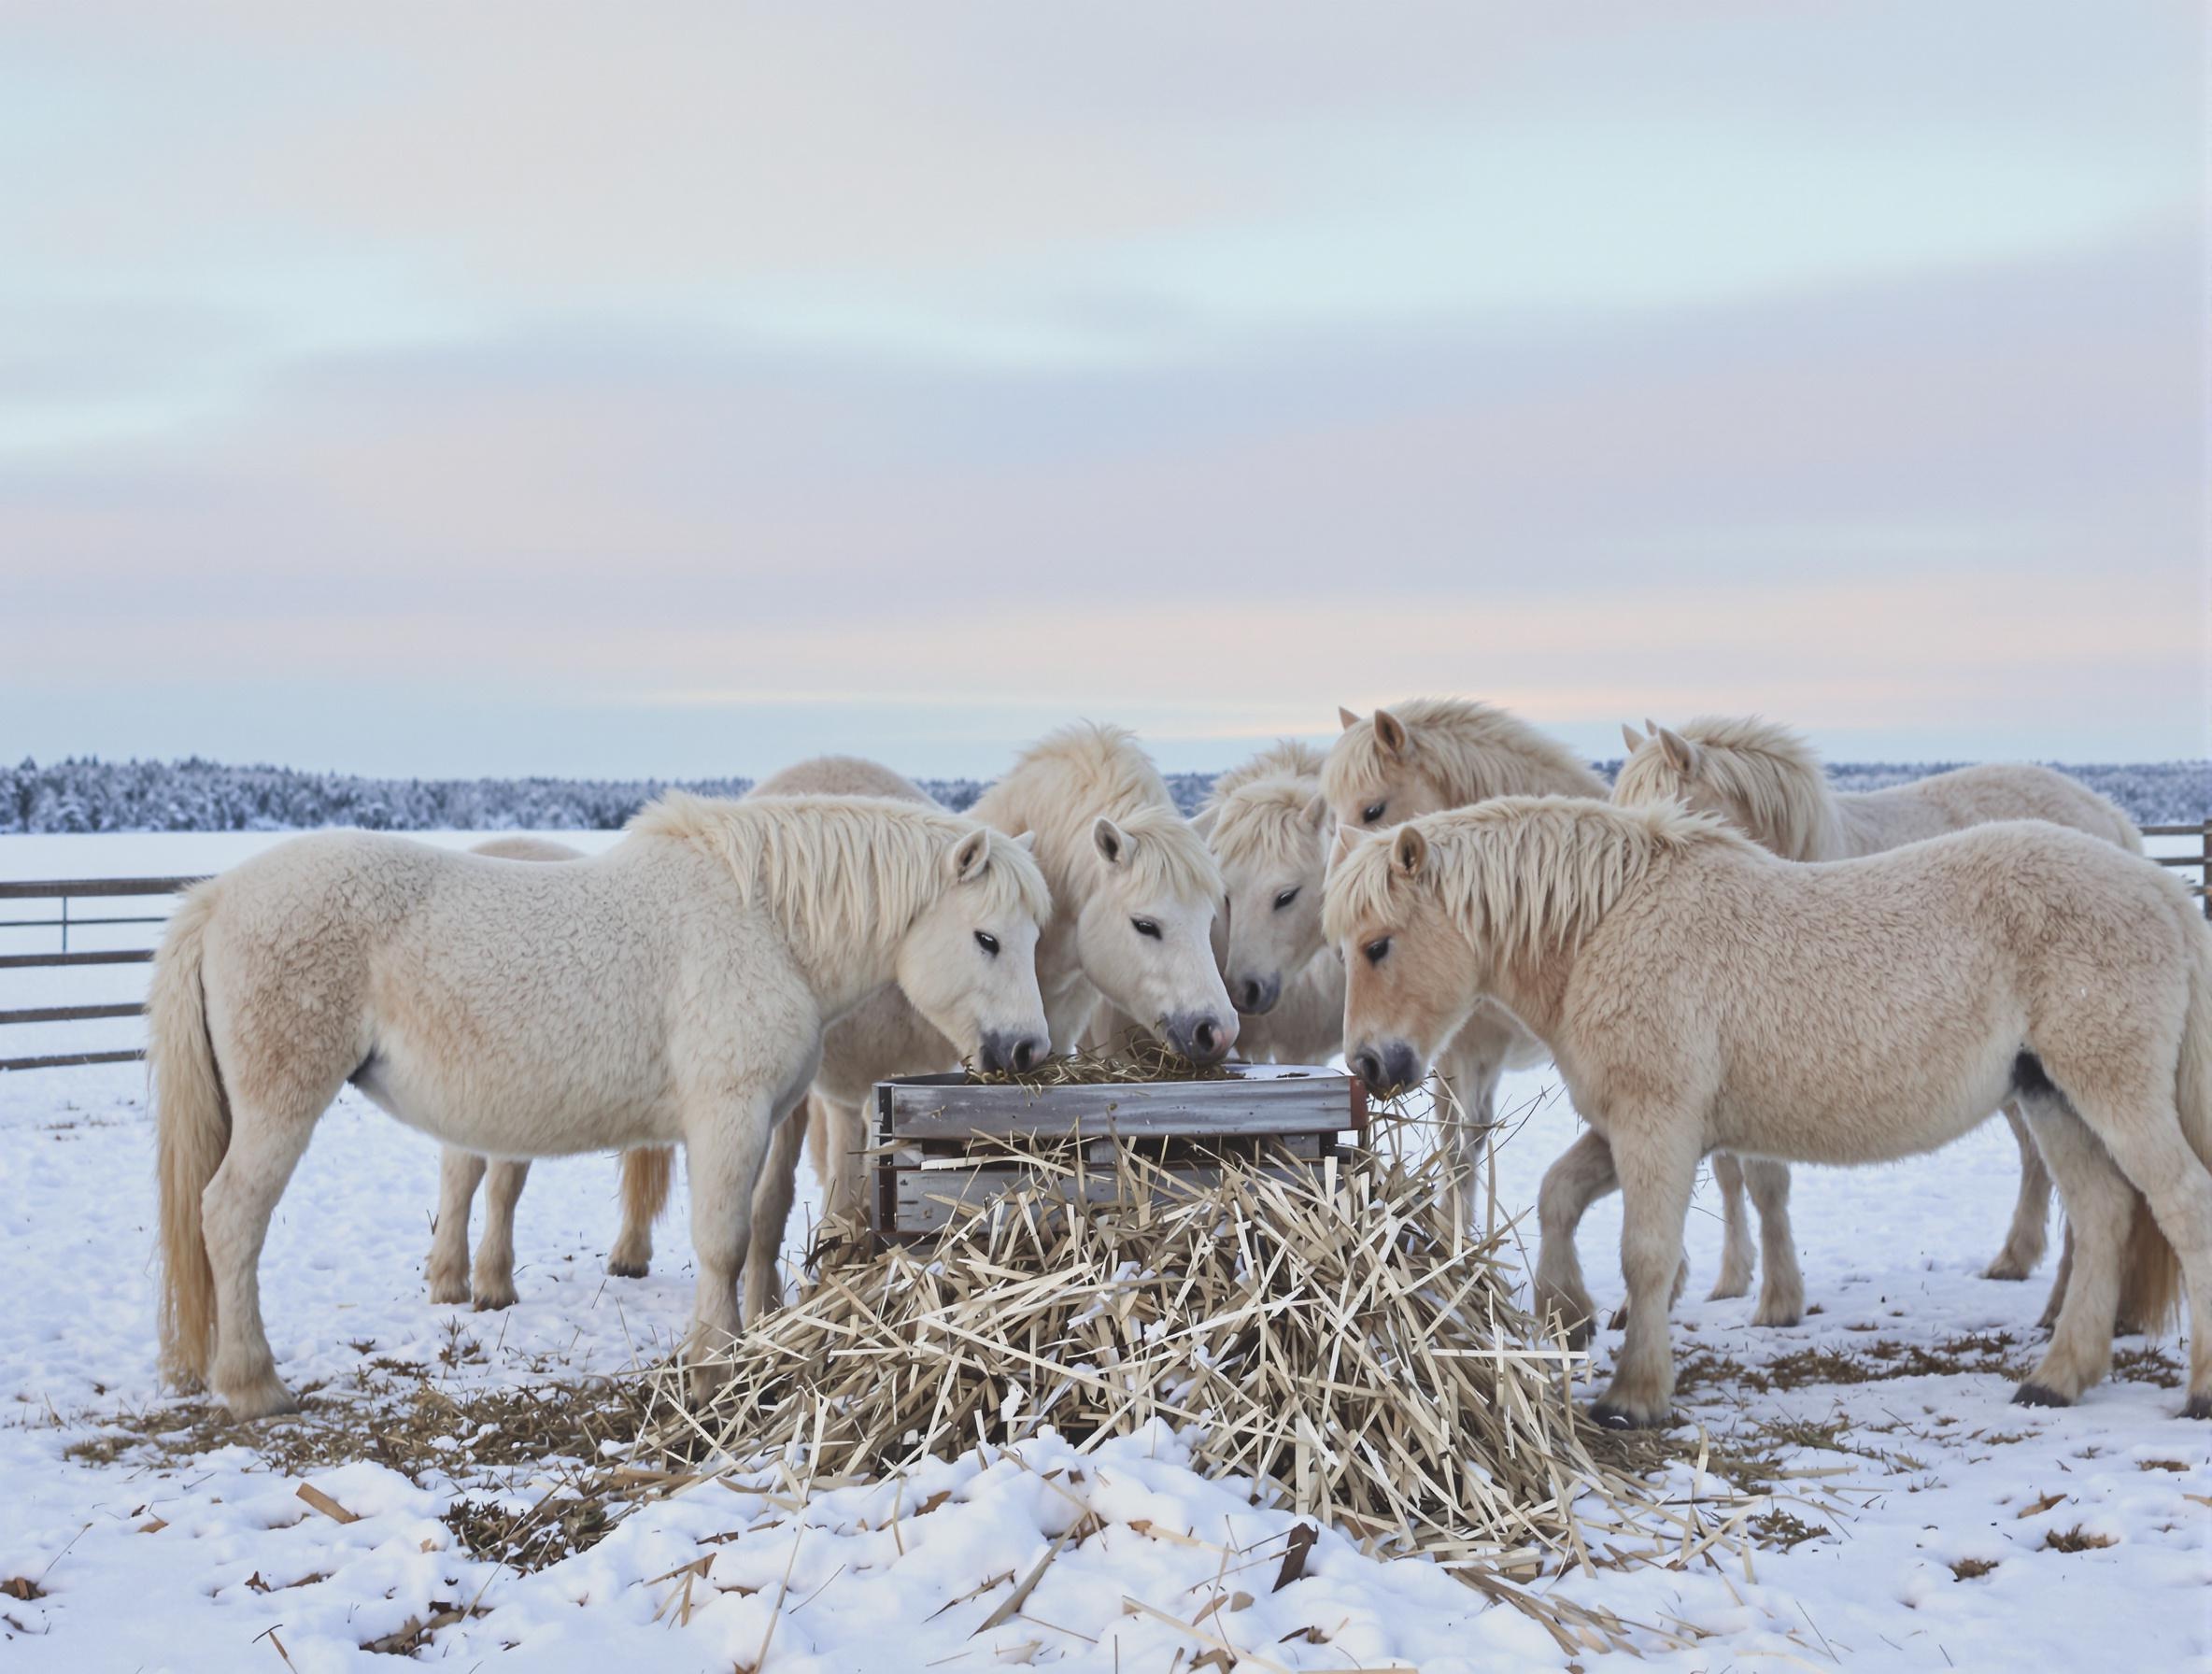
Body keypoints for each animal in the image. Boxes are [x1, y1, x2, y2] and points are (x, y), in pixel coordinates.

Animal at [153, 791, 1053, 1406]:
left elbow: (760, 1229)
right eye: (986, 938)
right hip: (280, 1105)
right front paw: (711, 1364)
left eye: (1034, 937)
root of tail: (218, 897)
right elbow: (723, 1241)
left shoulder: (767, 1120)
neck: (768, 928)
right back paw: (253, 1384)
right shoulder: (725, 1119)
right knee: (230, 1217)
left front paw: (747, 1341)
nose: (1027, 1051)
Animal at [1326, 804, 2212, 1432]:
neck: (1606, 929)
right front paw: (1568, 1314)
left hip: (2111, 1091)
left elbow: (1646, 1256)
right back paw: (2059, 1379)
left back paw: (2196, 1392)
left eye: (1379, 945)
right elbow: (1558, 1196)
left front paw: (1633, 1395)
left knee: (2181, 1207)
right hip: (2052, 1097)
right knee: (2103, 1215)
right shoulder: (1630, 1127)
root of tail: (2163, 891)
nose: (1368, 1066)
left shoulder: (1658, 1127)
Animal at [1557, 716, 2141, 1335]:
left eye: (1667, 810)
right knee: (2040, 1159)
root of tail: (2106, 816)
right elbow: (1726, 1172)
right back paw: (2023, 1264)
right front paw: (1720, 1281)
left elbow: (1763, 1182)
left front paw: (1772, 1300)